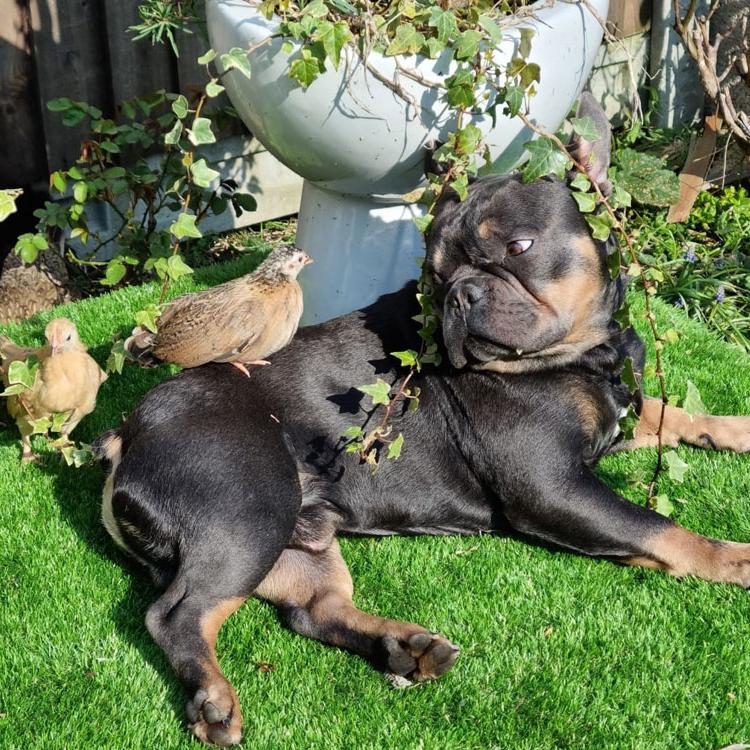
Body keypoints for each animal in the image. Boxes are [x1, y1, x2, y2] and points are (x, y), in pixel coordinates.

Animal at [97, 98, 750, 748]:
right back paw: (213, 699)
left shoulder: (620, 414)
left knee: (312, 610)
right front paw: (736, 558)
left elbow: (670, 412)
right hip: (247, 514)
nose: (459, 293)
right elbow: (657, 529)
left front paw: (734, 426)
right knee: (177, 614)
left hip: (297, 534)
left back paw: (404, 647)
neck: (587, 354)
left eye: (519, 247)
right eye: (434, 277)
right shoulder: (554, 488)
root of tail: (127, 433)